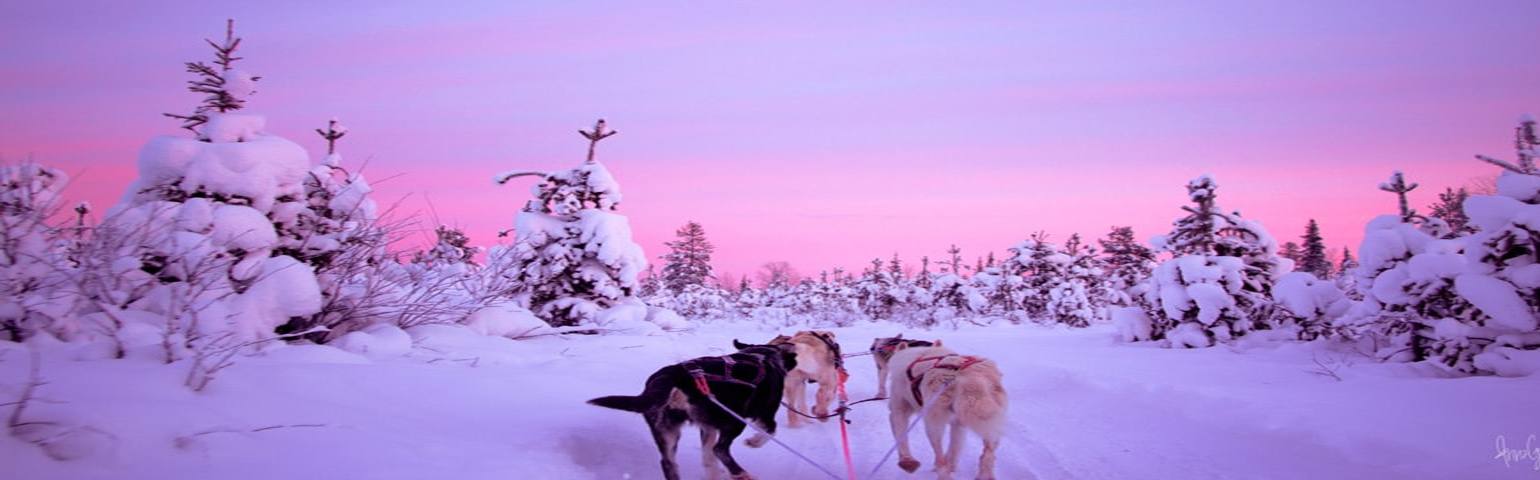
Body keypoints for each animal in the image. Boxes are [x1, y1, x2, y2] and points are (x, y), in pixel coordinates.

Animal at [588, 340, 800, 476]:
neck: (763, 355)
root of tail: (674, 375)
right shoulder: (764, 415)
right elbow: (771, 431)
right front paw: (754, 442)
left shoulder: (707, 427)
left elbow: (707, 459)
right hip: (734, 421)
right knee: (720, 449)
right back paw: (742, 474)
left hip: (667, 431)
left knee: (669, 463)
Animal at [887, 343, 1004, 476]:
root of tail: (969, 377)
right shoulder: (958, 424)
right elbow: (955, 447)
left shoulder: (898, 409)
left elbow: (900, 434)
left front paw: (907, 461)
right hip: (989, 423)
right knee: (986, 455)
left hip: (933, 423)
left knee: (940, 459)